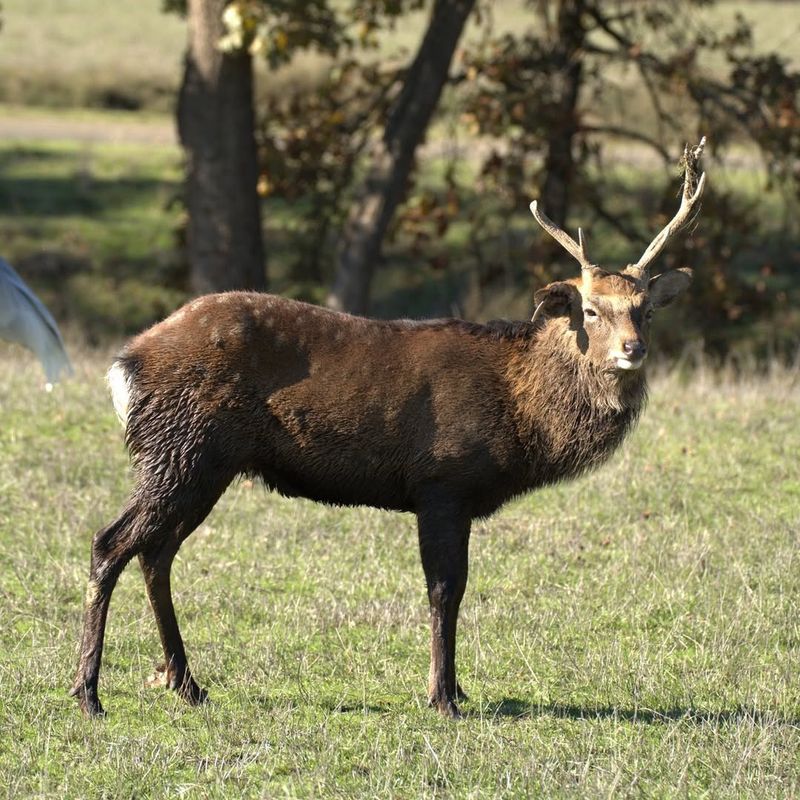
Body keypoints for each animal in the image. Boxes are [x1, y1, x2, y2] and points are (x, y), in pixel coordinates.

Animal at [70, 138, 708, 720]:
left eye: (646, 310)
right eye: (592, 310)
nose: (633, 350)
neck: (519, 409)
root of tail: (126, 365)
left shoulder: (454, 494)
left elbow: (455, 587)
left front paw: (457, 690)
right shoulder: (442, 480)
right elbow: (445, 588)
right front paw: (443, 697)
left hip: (201, 462)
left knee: (156, 553)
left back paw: (188, 686)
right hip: (183, 446)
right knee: (112, 541)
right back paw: (89, 692)